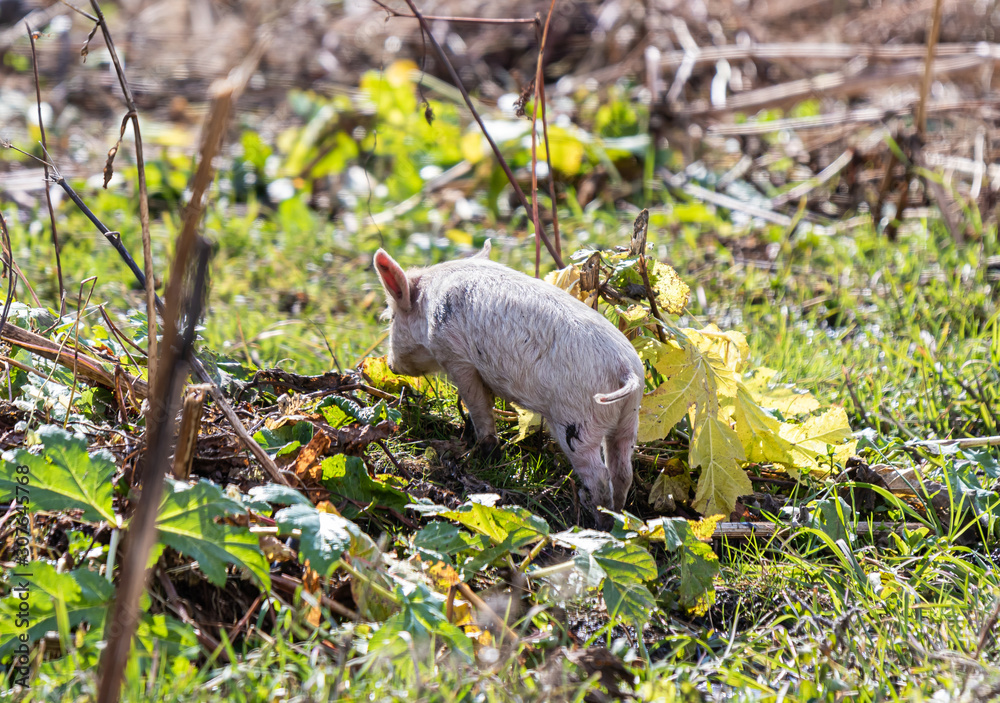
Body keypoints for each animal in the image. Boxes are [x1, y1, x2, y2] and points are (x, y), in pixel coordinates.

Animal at [372, 241, 645, 521]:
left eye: (392, 318)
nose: (391, 365)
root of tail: (627, 370)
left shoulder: (457, 357)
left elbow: (479, 407)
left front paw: (487, 456)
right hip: (629, 417)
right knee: (623, 470)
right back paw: (619, 517)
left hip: (577, 421)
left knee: (599, 476)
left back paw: (599, 520)